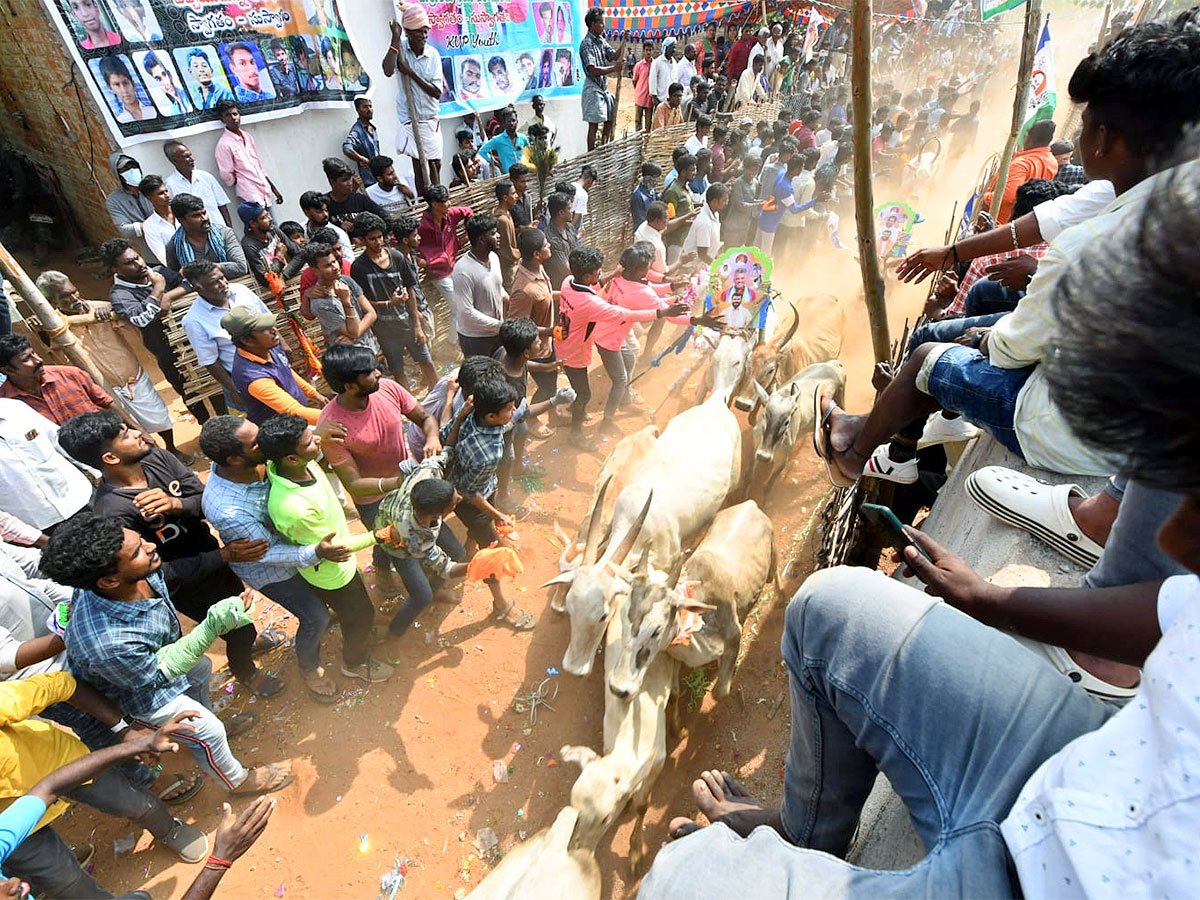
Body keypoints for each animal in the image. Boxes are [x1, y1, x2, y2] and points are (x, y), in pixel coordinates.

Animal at [609, 501, 777, 705]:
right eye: (623, 620)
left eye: (656, 630)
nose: (618, 689)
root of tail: (750, 504)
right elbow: (674, 692)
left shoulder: (733, 637)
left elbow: (719, 692)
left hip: (772, 564)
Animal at [744, 362, 849, 496]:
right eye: (764, 415)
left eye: (787, 422)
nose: (764, 456)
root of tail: (833, 364)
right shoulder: (756, 446)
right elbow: (748, 476)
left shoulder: (782, 459)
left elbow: (767, 486)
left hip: (841, 402)